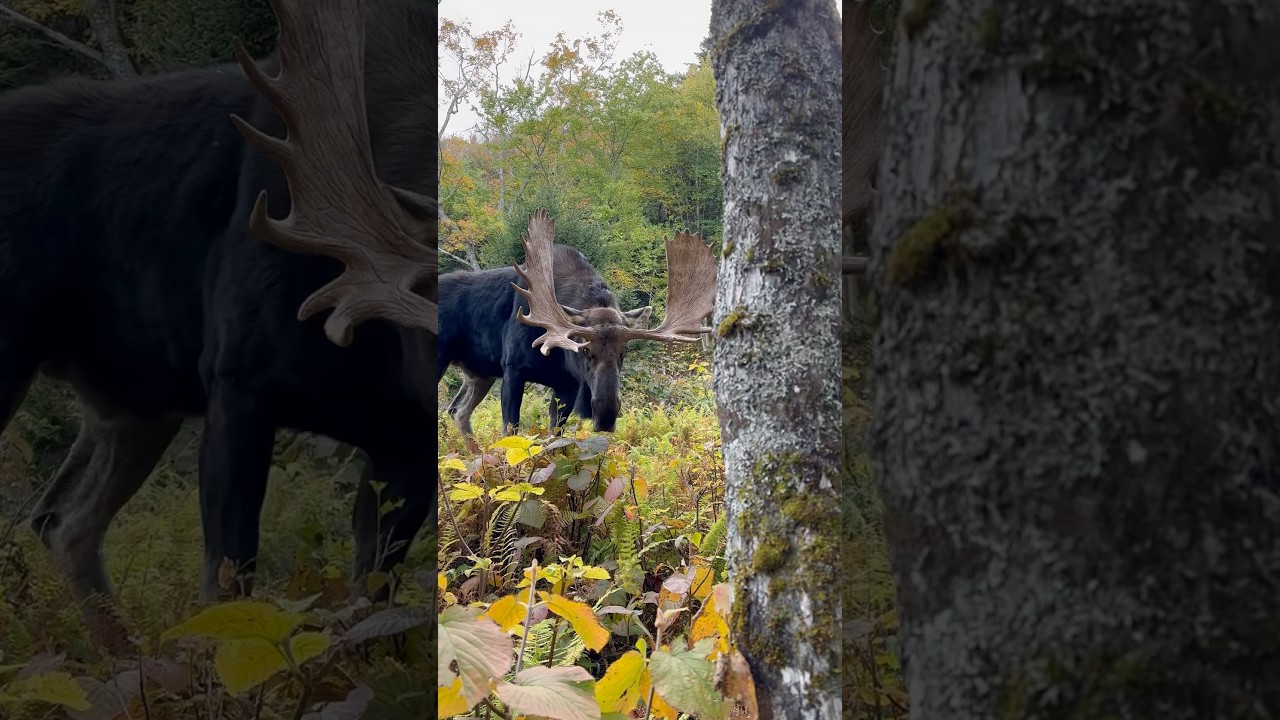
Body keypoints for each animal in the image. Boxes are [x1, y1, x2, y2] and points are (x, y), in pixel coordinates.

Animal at [0, 0, 436, 644]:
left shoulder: (404, 440)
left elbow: (372, 606)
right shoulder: (237, 381)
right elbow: (227, 590)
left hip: (134, 402)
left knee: (63, 519)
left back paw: (124, 656)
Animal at [437, 210, 717, 437]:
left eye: (624, 353)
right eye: (585, 350)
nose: (605, 416)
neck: (558, 358)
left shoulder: (567, 386)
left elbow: (554, 436)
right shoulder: (512, 368)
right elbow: (510, 433)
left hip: (479, 373)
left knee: (457, 410)